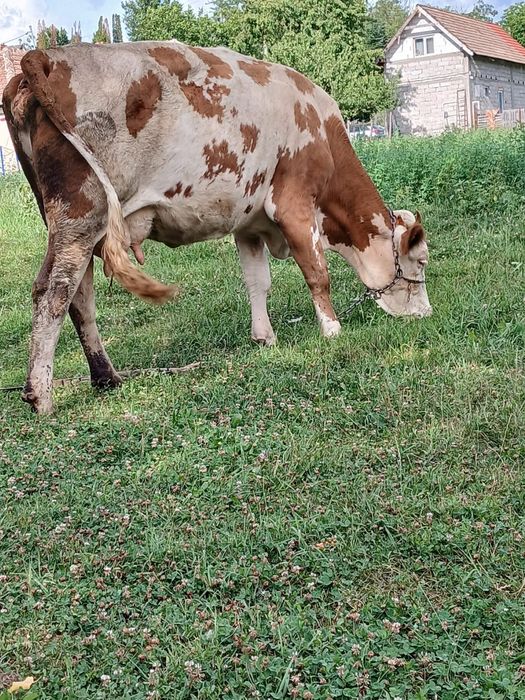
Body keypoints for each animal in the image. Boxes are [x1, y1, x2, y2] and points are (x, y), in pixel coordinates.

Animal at [3, 41, 431, 414]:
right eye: (421, 261)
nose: (426, 314)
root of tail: (45, 57)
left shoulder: (249, 220)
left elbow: (257, 281)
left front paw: (264, 336)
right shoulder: (293, 205)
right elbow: (316, 272)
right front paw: (332, 329)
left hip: (74, 223)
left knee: (80, 298)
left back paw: (106, 377)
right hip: (80, 214)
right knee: (53, 292)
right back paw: (41, 395)